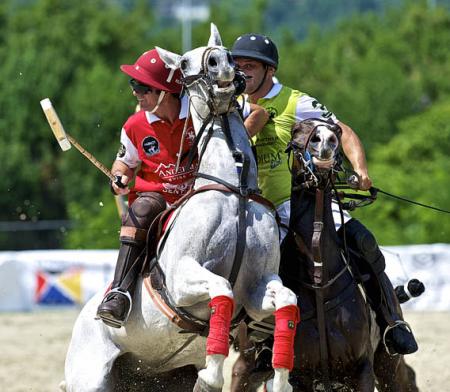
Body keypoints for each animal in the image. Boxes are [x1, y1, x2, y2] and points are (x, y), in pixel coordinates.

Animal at [61, 25, 298, 392]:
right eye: (185, 62)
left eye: (226, 52)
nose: (221, 64)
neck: (235, 189)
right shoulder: (180, 278)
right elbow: (222, 288)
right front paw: (211, 376)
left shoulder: (257, 287)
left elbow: (287, 300)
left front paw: (281, 380)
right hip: (90, 375)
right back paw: (112, 304)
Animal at [232, 119, 418, 392]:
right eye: (297, 131)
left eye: (336, 131)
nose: (325, 140)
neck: (319, 282)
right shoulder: (301, 375)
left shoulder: (361, 368)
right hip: (248, 365)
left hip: (388, 365)